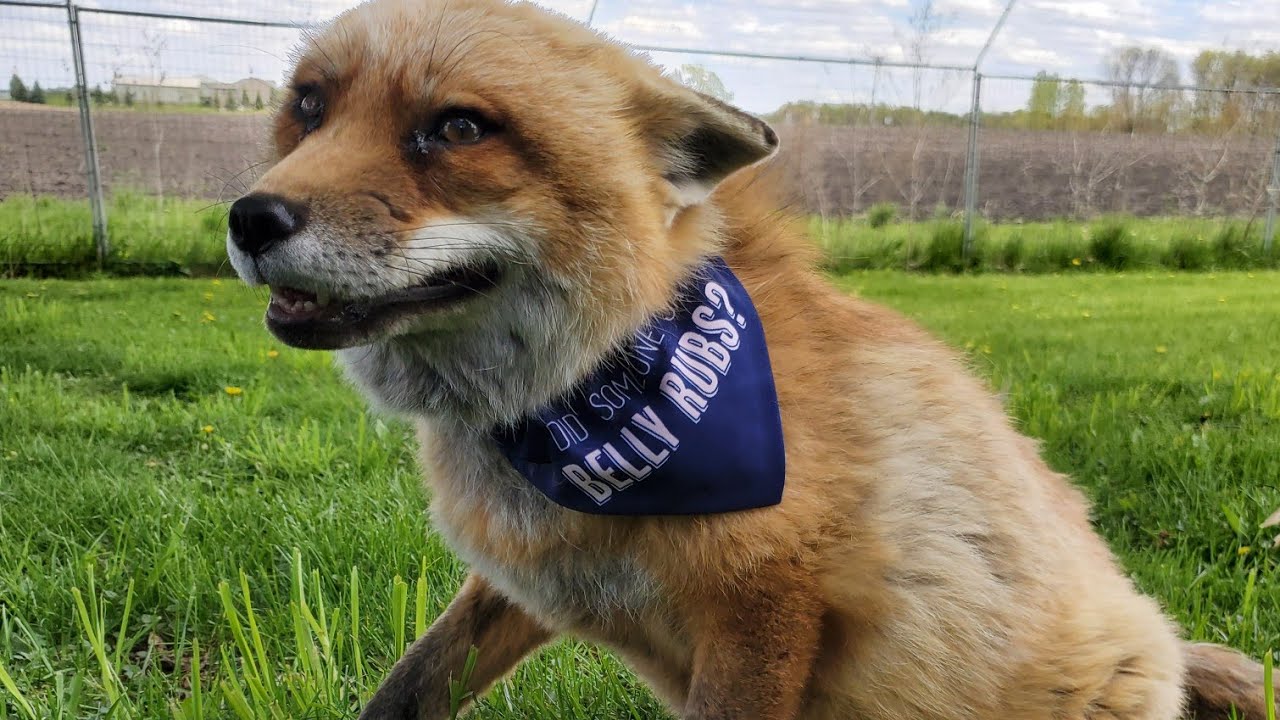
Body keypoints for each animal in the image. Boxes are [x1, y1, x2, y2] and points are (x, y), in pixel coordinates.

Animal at [224, 0, 1279, 718]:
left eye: (457, 127)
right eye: (308, 109)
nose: (249, 218)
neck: (603, 392)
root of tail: (1163, 635)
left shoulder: (768, 606)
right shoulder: (529, 587)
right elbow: (409, 685)